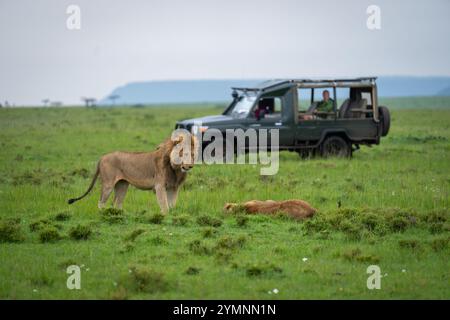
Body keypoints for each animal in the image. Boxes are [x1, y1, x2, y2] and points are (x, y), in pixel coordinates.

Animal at [67, 131, 199, 214]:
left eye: (193, 155)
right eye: (183, 153)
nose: (189, 166)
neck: (176, 168)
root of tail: (102, 157)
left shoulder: (174, 187)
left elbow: (172, 205)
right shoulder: (159, 186)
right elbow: (165, 206)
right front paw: (165, 217)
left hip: (122, 185)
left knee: (117, 203)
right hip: (108, 184)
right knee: (101, 203)